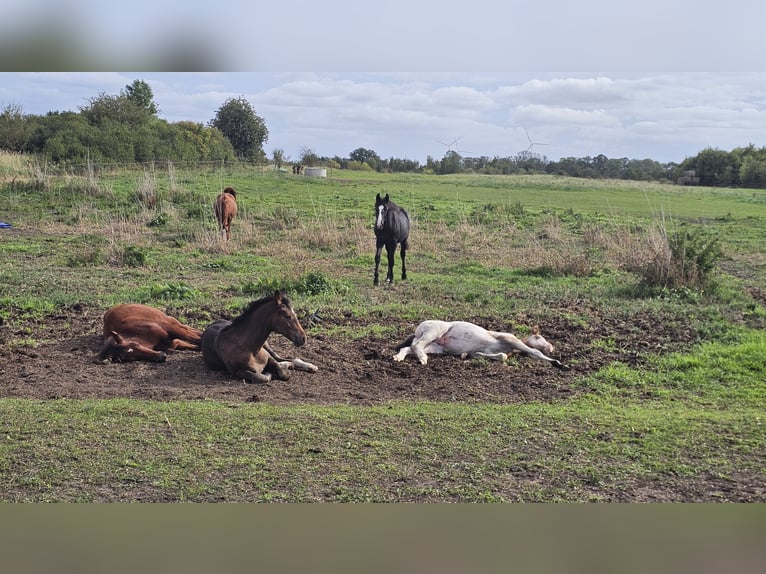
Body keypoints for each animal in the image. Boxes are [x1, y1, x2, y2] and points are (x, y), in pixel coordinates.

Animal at [392, 320, 568, 370]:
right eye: (538, 336)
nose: (550, 347)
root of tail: (418, 328)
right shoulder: (510, 338)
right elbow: (533, 352)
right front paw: (559, 364)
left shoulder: (486, 350)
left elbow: (500, 355)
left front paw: (467, 355)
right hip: (433, 332)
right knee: (417, 345)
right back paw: (423, 359)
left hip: (436, 347)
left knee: (410, 347)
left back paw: (399, 358)